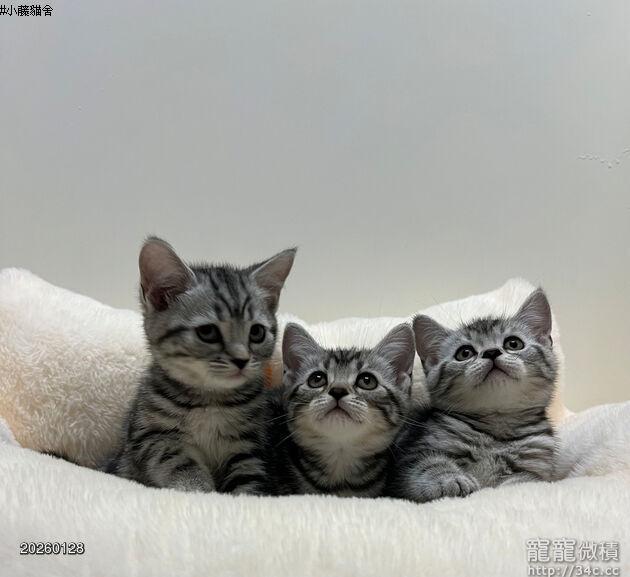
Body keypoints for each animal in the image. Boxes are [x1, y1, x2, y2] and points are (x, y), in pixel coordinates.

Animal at [106, 237, 296, 494]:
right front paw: (200, 490)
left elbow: (249, 478)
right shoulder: (152, 437)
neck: (211, 400)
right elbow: (182, 464)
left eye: (257, 332)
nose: (242, 359)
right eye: (207, 332)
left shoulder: (250, 445)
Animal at [387, 288, 558, 502]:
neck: (496, 431)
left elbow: (524, 481)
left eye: (513, 343)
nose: (491, 352)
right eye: (465, 353)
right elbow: (427, 464)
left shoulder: (536, 463)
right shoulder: (412, 454)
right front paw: (449, 479)